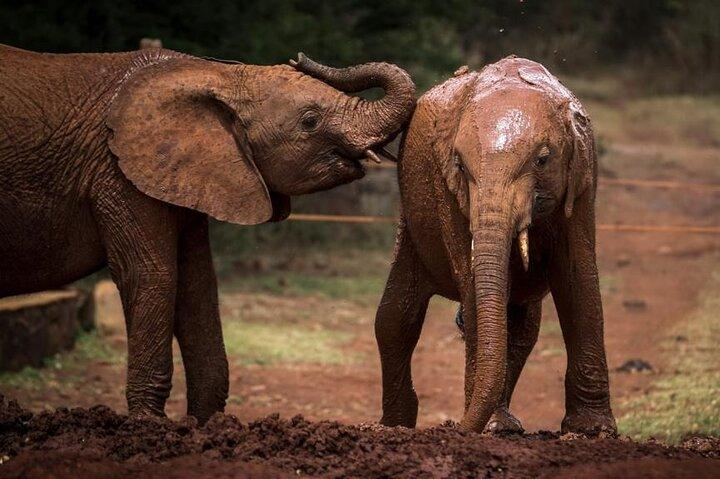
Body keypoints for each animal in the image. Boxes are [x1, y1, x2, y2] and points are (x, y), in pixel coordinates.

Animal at [0, 44, 415, 423]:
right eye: (310, 121)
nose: (299, 57)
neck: (215, 74)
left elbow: (197, 284)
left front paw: (206, 426)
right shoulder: (117, 174)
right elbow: (152, 275)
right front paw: (150, 427)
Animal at [375, 56, 616, 435]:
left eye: (542, 160)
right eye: (459, 165)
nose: (451, 426)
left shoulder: (583, 176)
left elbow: (577, 277)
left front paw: (592, 430)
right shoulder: (446, 188)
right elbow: (472, 281)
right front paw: (491, 427)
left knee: (522, 329)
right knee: (396, 319)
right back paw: (398, 426)